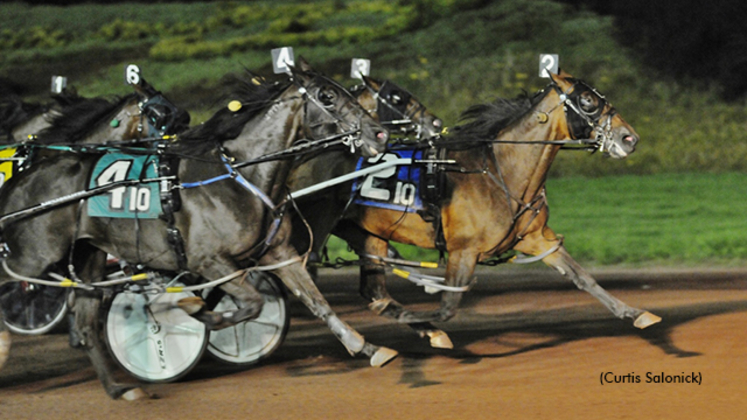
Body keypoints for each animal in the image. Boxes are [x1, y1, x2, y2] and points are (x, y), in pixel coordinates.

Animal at [1, 62, 392, 400]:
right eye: (327, 96)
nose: (380, 133)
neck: (241, 175)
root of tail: (23, 177)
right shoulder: (210, 261)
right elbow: (250, 303)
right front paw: (190, 310)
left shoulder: (278, 253)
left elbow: (317, 302)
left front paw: (366, 346)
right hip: (31, 255)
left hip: (88, 258)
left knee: (84, 326)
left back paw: (119, 389)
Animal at [306, 71, 656, 348]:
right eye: (587, 102)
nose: (630, 138)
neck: (499, 171)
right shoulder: (463, 250)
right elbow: (448, 305)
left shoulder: (537, 238)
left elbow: (582, 277)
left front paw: (636, 313)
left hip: (368, 233)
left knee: (374, 292)